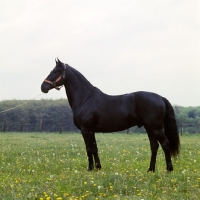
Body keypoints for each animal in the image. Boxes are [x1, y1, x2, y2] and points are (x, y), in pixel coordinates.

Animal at [40, 58, 180, 172]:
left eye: (55, 71)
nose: (43, 87)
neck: (85, 98)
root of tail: (160, 97)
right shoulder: (91, 130)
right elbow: (94, 148)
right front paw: (98, 168)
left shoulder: (85, 129)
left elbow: (88, 149)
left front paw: (90, 169)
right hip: (149, 128)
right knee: (154, 146)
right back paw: (150, 170)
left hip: (156, 128)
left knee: (165, 144)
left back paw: (169, 170)